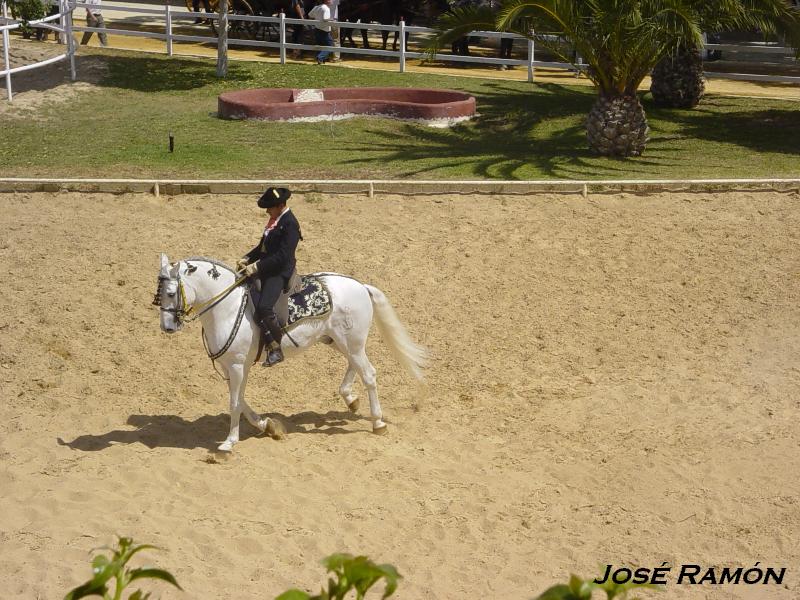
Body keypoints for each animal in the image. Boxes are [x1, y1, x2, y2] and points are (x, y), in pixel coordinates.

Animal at [151, 252, 424, 450]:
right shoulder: (231, 368)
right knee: (355, 366)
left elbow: (234, 403)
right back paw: (351, 399)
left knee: (369, 374)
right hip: (340, 341)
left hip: (351, 342)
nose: (167, 327)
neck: (228, 307)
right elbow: (241, 401)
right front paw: (267, 426)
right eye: (158, 294)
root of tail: (360, 285)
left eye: (171, 293)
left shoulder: (238, 366)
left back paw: (378, 422)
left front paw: (229, 443)